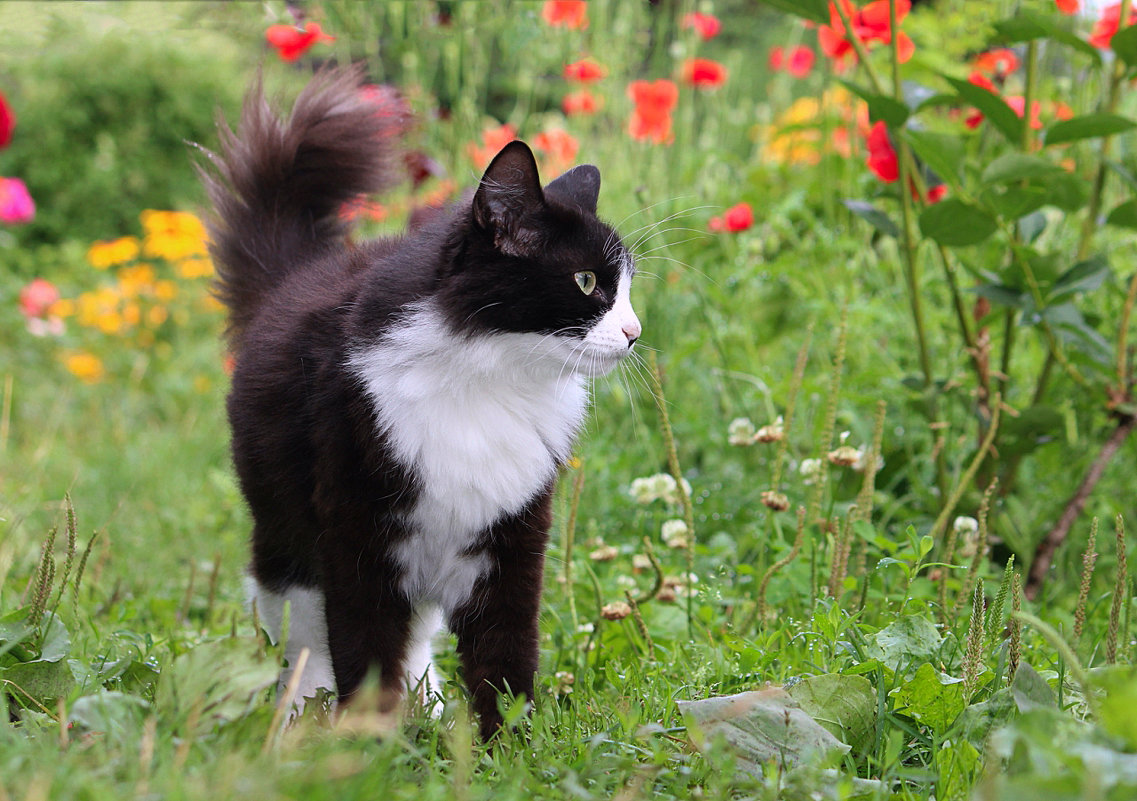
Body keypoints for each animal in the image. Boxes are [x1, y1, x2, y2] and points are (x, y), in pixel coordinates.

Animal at [196, 68, 641, 737]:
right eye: (587, 282)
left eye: (629, 289)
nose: (635, 332)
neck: (494, 380)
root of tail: (298, 275)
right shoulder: (358, 533)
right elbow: (363, 648)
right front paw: (370, 740)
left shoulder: (509, 533)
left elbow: (504, 654)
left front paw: (505, 746)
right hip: (285, 530)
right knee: (298, 628)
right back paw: (303, 712)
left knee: (417, 635)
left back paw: (425, 699)